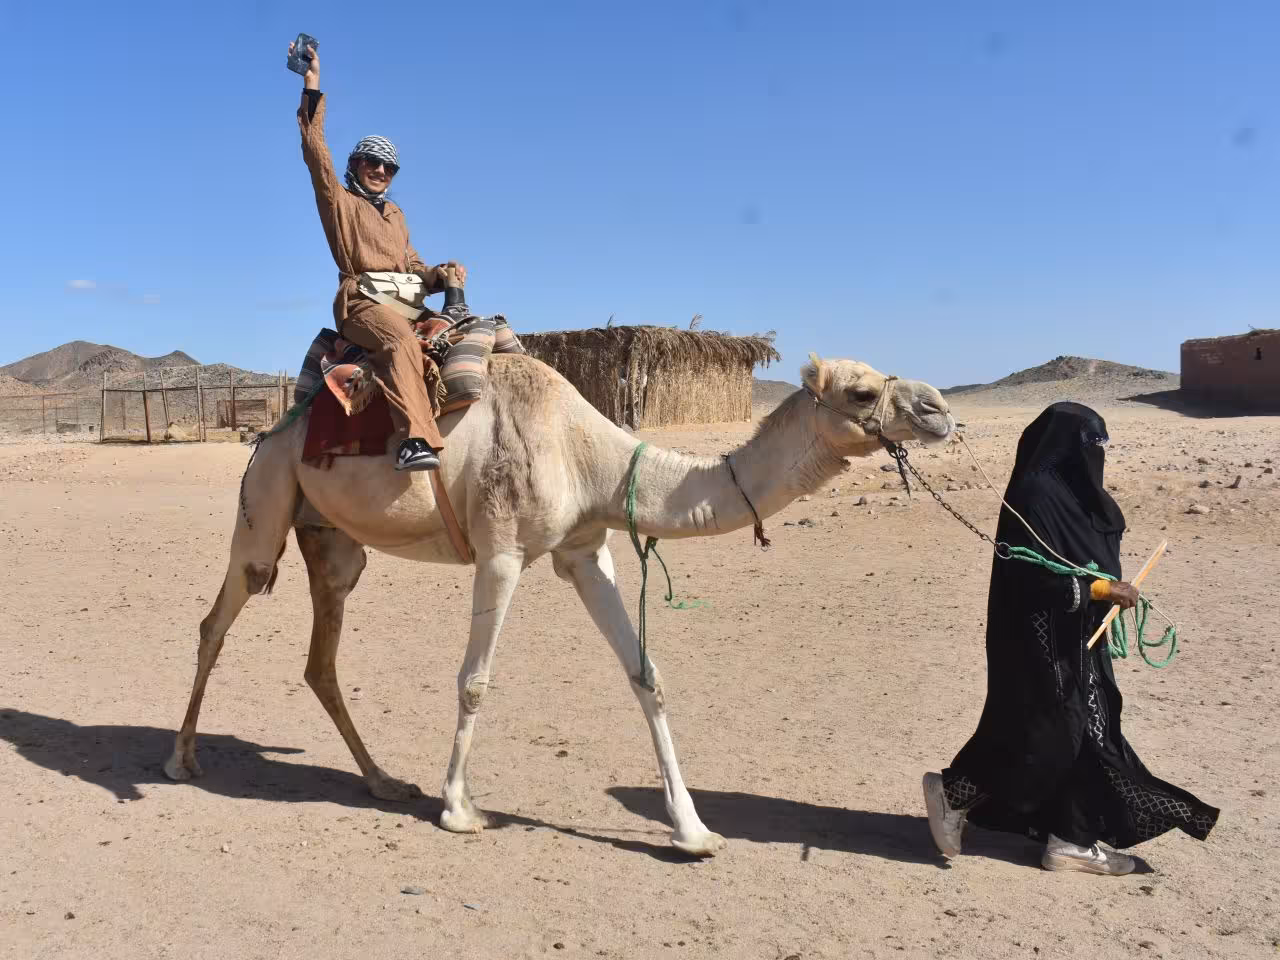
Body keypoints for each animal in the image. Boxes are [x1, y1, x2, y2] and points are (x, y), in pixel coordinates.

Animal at [164, 350, 955, 855]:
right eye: (861, 392)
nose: (940, 408)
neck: (591, 458)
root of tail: (277, 423)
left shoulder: (585, 549)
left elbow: (646, 675)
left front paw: (694, 831)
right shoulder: (503, 549)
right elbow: (475, 681)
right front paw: (460, 810)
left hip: (334, 544)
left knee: (320, 660)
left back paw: (385, 782)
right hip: (266, 502)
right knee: (213, 623)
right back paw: (181, 761)